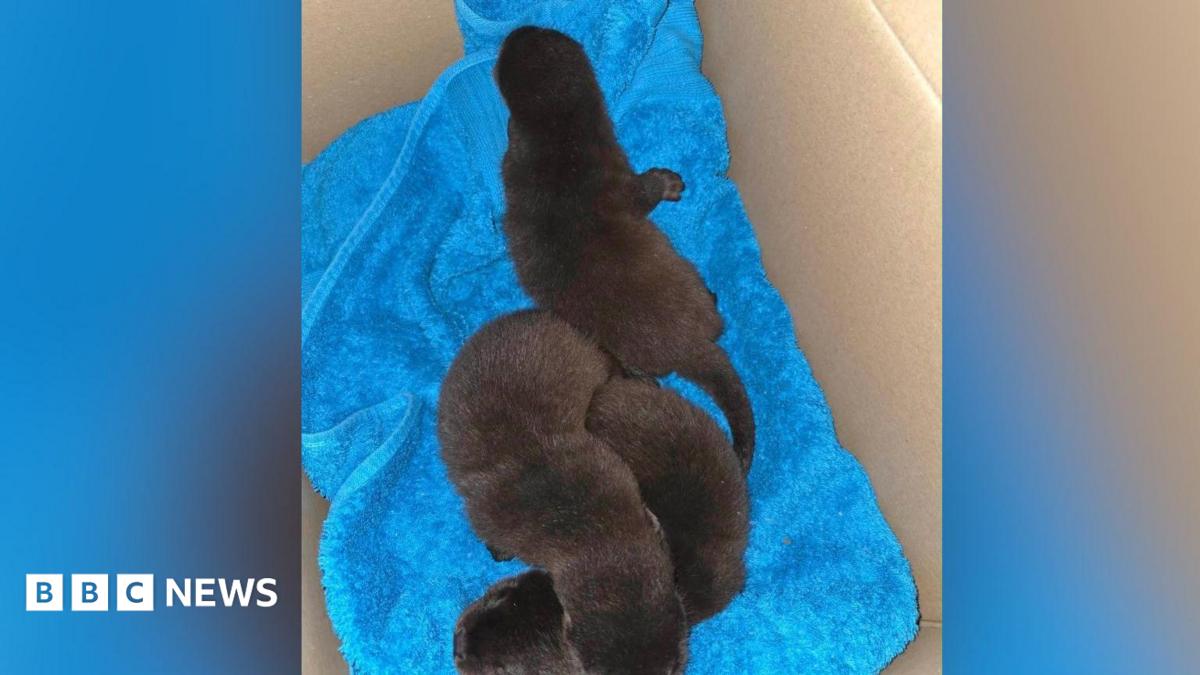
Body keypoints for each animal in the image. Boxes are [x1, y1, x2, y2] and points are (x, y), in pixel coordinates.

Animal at [495, 25, 756, 472]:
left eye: (533, 35)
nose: (517, 30)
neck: (557, 139)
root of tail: (687, 345)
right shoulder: (615, 172)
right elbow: (642, 193)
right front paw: (667, 182)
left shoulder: (516, 160)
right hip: (684, 282)